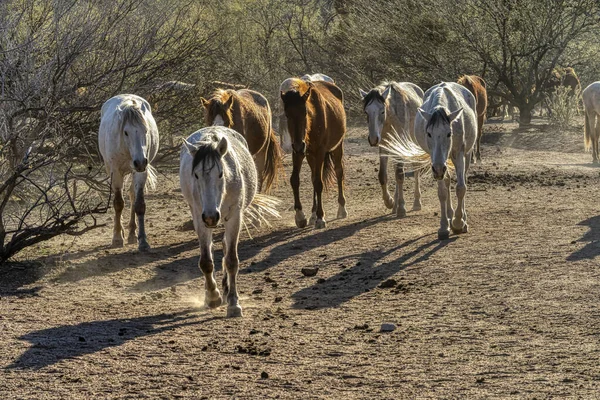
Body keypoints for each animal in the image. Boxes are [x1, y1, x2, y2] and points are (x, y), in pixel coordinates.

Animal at [98, 94, 159, 250]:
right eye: (126, 132)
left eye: (146, 130)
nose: (140, 161)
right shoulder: (115, 172)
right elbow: (118, 203)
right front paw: (117, 237)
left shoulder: (140, 172)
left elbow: (139, 205)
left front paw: (143, 241)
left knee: (132, 195)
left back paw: (132, 233)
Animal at [179, 126, 280, 318]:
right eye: (196, 175)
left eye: (220, 174)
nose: (211, 216)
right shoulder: (199, 218)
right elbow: (206, 261)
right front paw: (212, 296)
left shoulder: (234, 218)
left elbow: (231, 260)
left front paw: (233, 303)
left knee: (226, 248)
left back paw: (226, 290)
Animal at [280, 77, 346, 228]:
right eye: (287, 115)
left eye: (305, 113)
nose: (299, 145)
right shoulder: (298, 152)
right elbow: (295, 179)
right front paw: (300, 216)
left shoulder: (320, 151)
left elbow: (318, 182)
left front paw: (321, 217)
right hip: (310, 155)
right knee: (312, 176)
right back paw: (313, 214)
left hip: (337, 147)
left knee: (339, 171)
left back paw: (341, 208)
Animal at [358, 82, 424, 217]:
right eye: (366, 112)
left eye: (382, 111)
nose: (373, 139)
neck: (391, 118)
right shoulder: (384, 145)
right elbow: (383, 175)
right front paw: (390, 202)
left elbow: (400, 175)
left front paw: (401, 208)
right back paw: (395, 206)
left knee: (415, 167)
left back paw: (416, 203)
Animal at [384, 80, 478, 238]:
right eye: (428, 134)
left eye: (449, 133)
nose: (439, 169)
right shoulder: (437, 163)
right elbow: (442, 192)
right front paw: (444, 226)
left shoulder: (458, 154)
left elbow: (461, 188)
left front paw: (459, 223)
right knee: (446, 182)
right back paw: (449, 213)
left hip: (465, 154)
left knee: (462, 179)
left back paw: (461, 218)